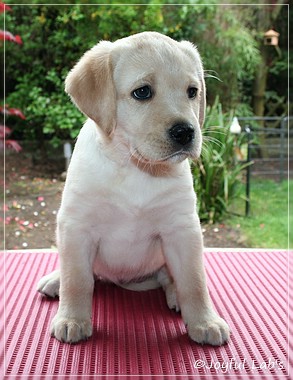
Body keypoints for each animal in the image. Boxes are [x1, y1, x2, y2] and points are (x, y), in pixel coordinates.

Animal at [36, 31, 229, 346]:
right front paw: (72, 319)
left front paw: (205, 321)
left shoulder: (182, 229)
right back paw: (54, 280)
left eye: (192, 91)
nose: (186, 132)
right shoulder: (76, 225)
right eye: (142, 92)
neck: (134, 167)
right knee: (79, 272)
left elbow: (194, 281)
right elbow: (77, 280)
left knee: (170, 278)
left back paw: (174, 295)